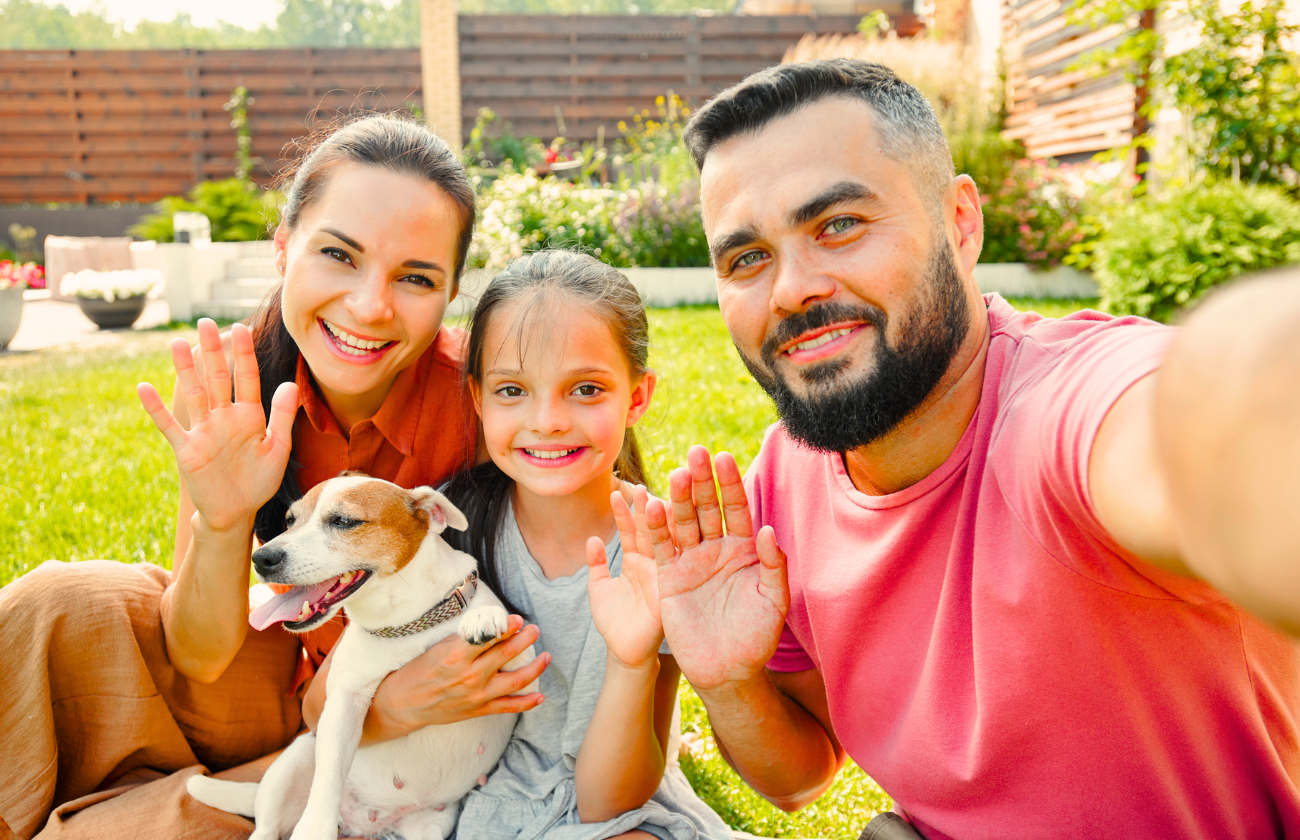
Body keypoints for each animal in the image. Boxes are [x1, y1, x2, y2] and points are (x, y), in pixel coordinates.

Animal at [185, 473, 535, 840]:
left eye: (343, 521)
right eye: (289, 520)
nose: (262, 558)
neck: (406, 624)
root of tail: (364, 823)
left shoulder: (522, 687)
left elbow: (513, 646)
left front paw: (485, 619)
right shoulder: (343, 706)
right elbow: (327, 780)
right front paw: (314, 829)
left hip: (429, 826)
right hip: (295, 760)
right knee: (267, 828)